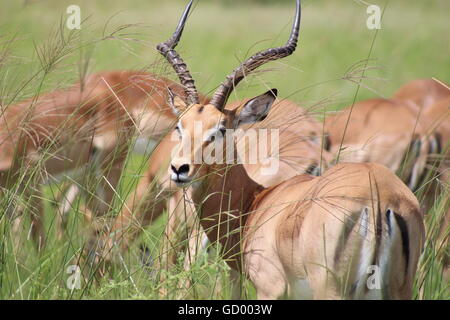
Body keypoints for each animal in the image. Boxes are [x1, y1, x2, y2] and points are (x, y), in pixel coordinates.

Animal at [117, 0, 426, 300]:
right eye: (180, 126)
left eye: (220, 129)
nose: (179, 169)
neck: (255, 203)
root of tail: (379, 198)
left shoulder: (270, 288)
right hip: (398, 290)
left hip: (330, 290)